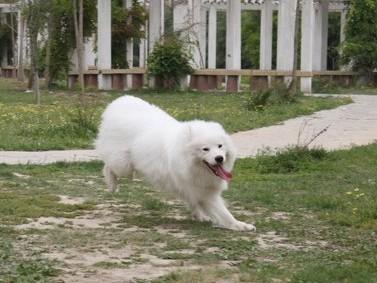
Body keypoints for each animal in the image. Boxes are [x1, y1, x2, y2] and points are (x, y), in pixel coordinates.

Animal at [95, 96, 254, 232]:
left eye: (220, 146)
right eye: (205, 149)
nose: (219, 158)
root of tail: (119, 102)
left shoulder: (191, 187)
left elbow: (194, 202)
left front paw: (200, 216)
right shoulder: (204, 193)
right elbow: (225, 213)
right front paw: (240, 225)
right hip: (123, 164)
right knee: (108, 166)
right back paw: (112, 185)